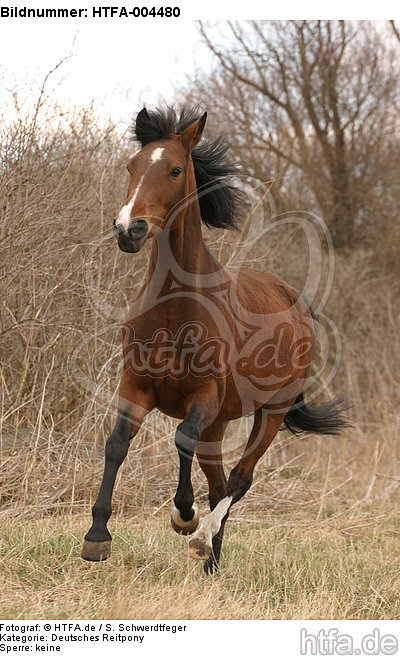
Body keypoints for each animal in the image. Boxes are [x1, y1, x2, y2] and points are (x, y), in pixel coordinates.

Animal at [81, 107, 349, 573]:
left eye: (174, 170)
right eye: (132, 166)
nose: (128, 230)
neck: (174, 310)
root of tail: (295, 300)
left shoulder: (203, 396)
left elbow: (181, 438)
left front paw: (182, 515)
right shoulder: (135, 386)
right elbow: (116, 444)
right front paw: (97, 537)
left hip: (271, 412)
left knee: (240, 479)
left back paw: (202, 539)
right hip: (221, 423)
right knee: (219, 482)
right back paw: (212, 562)